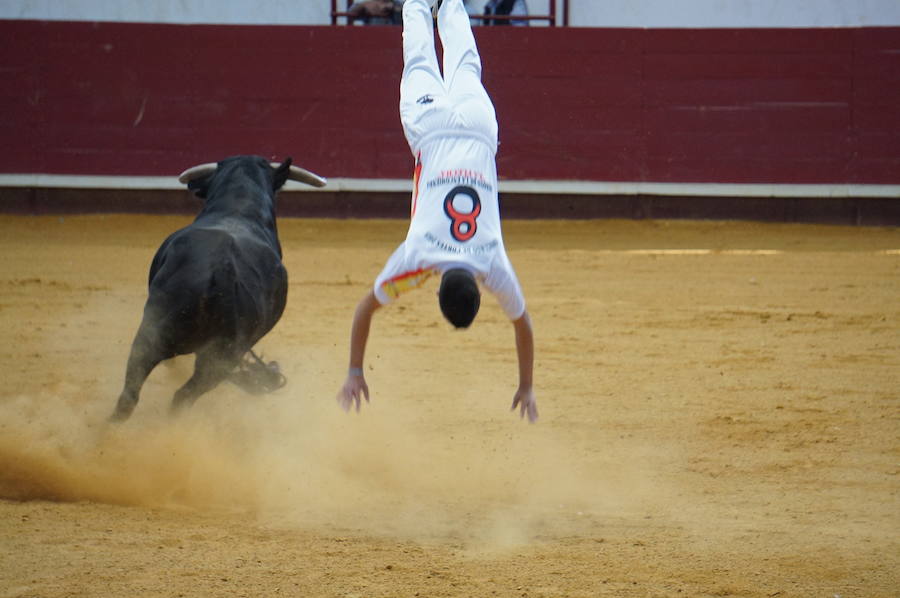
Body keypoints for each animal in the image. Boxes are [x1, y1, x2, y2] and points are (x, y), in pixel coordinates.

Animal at [110, 157, 326, 424]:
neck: (239, 208)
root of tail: (221, 271)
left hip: (163, 340)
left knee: (149, 395)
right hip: (210, 355)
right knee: (163, 396)